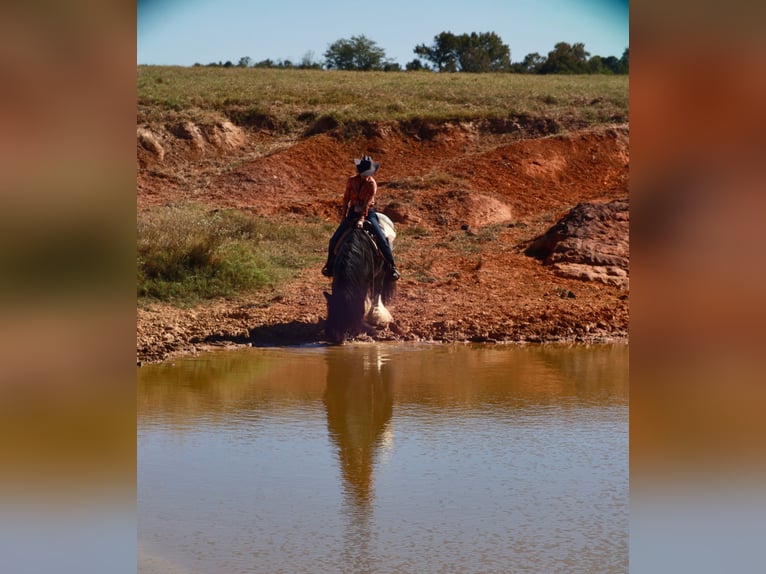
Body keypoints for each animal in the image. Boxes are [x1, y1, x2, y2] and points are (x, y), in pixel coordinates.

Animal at [324, 213, 397, 344]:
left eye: (346, 314)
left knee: (377, 291)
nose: (335, 338)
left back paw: (376, 315)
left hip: (381, 272)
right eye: (330, 311)